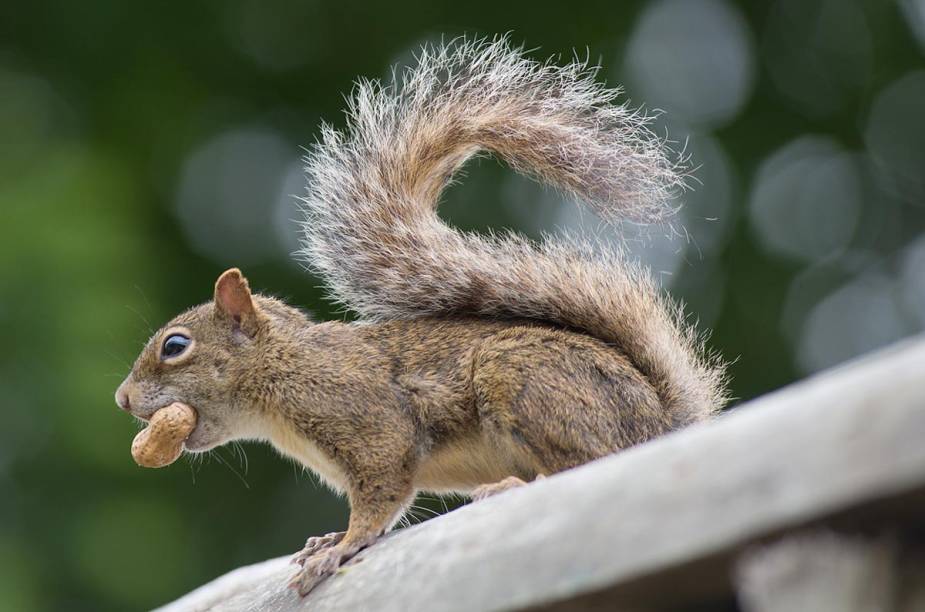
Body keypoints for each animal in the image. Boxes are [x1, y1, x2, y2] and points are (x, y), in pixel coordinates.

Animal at [113, 39, 720, 596]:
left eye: (175, 346)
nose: (121, 398)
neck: (281, 373)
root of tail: (659, 421)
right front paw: (325, 540)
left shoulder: (366, 419)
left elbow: (380, 495)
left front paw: (342, 546)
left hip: (522, 378)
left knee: (590, 461)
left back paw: (511, 488)